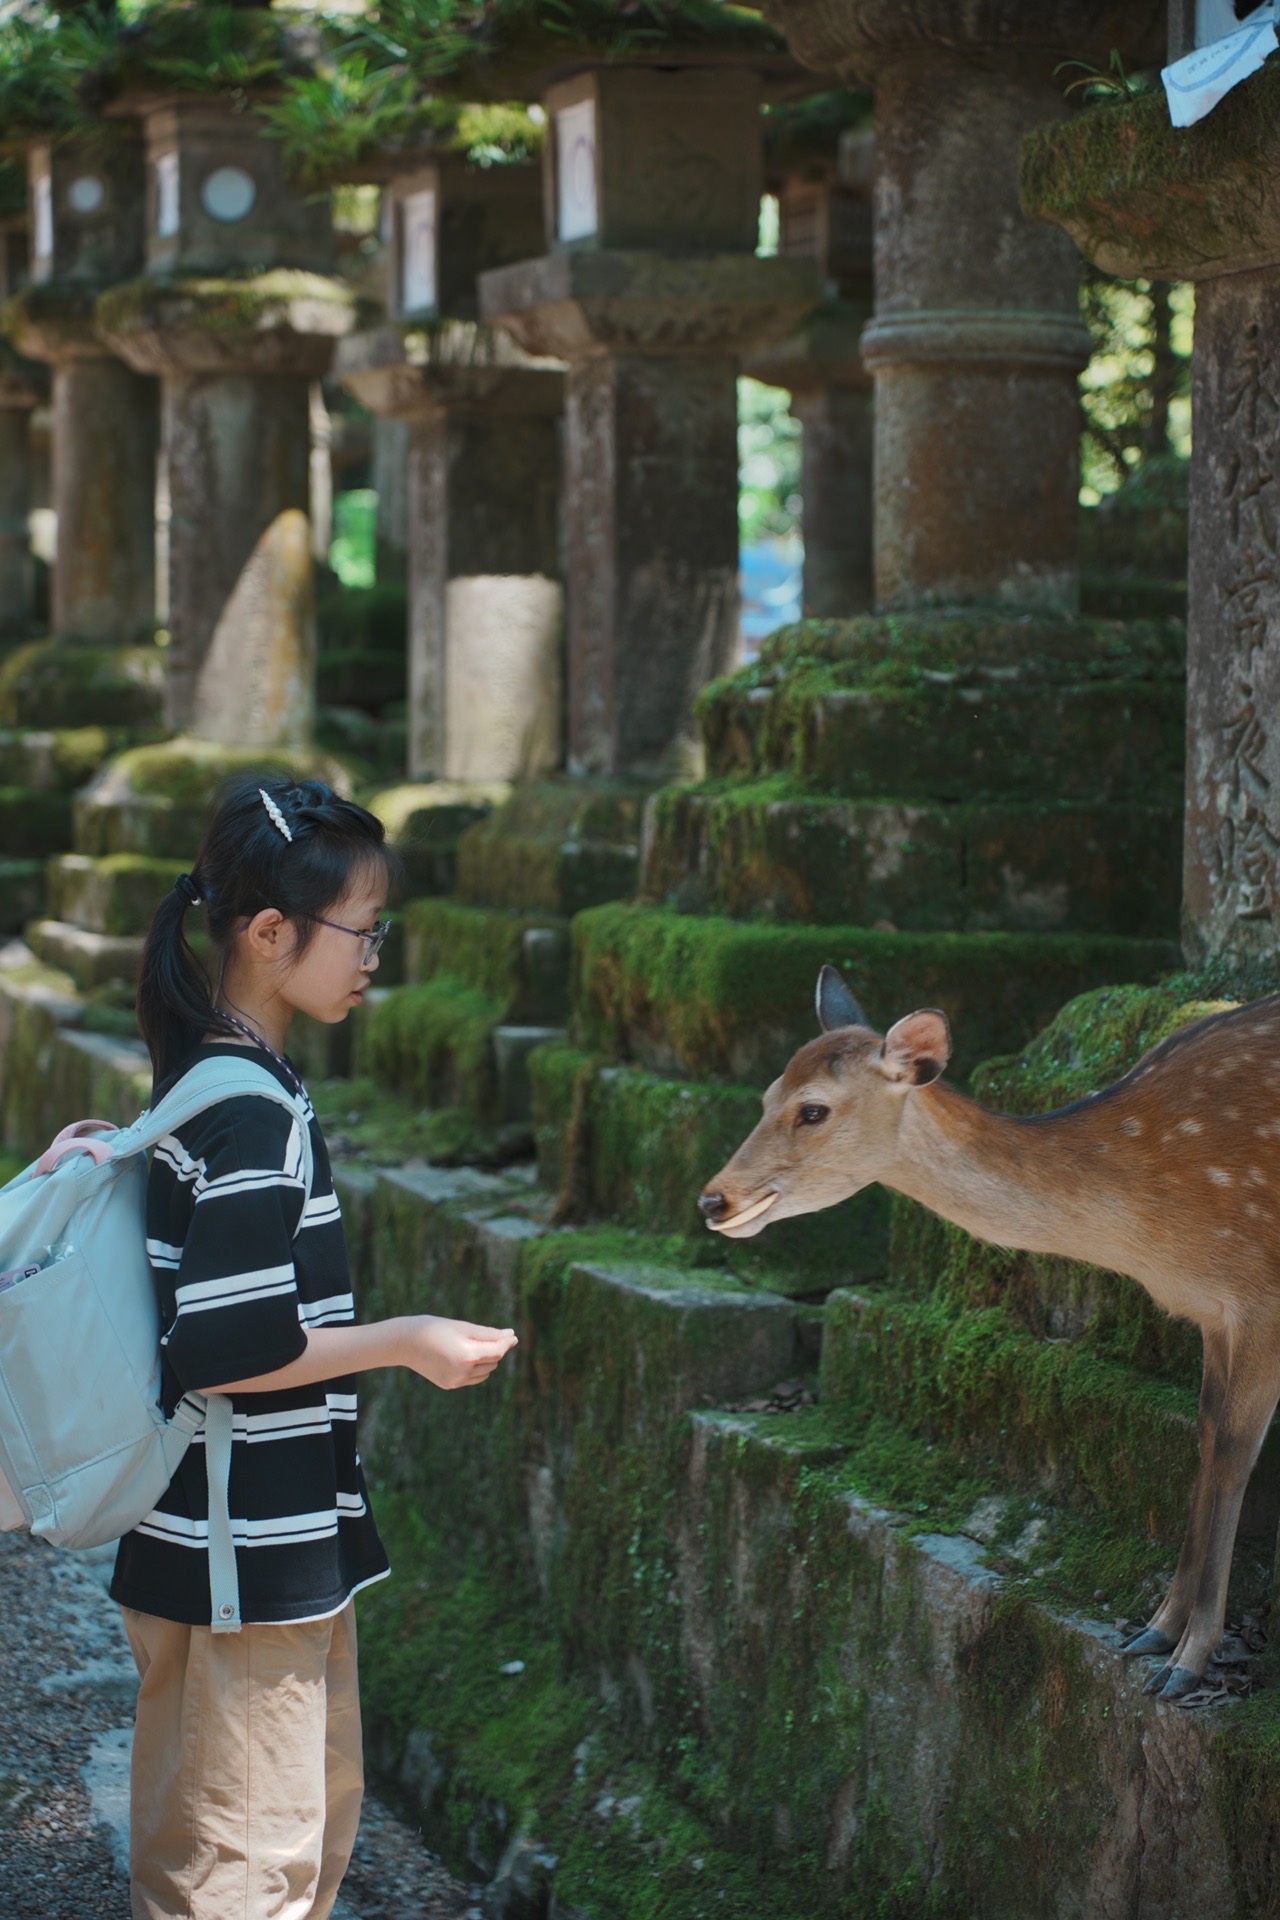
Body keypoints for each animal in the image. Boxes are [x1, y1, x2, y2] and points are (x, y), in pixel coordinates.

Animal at [702, 967, 1280, 1704]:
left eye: (813, 1110)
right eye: (767, 1094)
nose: (713, 1199)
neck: (1167, 1240)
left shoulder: (1262, 1296)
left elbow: (1235, 1453)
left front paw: (1190, 1661)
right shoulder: (1213, 1313)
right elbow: (1204, 1439)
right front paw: (1153, 1631)